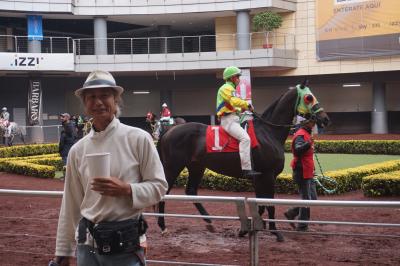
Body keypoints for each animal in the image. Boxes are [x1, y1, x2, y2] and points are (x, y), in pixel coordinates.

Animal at [157, 82, 332, 241]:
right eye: (309, 97)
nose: (325, 118)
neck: (268, 133)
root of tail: (169, 131)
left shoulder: (260, 178)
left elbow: (261, 204)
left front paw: (248, 229)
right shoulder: (267, 176)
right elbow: (269, 204)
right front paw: (275, 232)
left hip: (196, 166)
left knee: (191, 191)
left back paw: (209, 222)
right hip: (173, 167)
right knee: (164, 192)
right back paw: (162, 226)